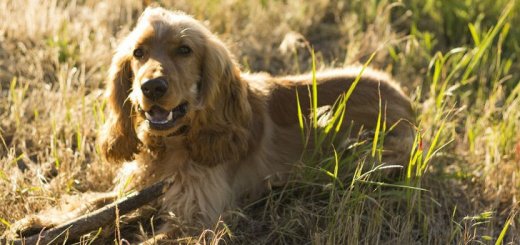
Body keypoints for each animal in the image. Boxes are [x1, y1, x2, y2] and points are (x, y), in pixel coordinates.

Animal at [7, 6, 414, 242]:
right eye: (139, 53)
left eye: (184, 50)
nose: (151, 87)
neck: (174, 143)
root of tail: (404, 96)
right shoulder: (141, 184)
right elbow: (94, 202)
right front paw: (39, 223)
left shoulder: (198, 216)